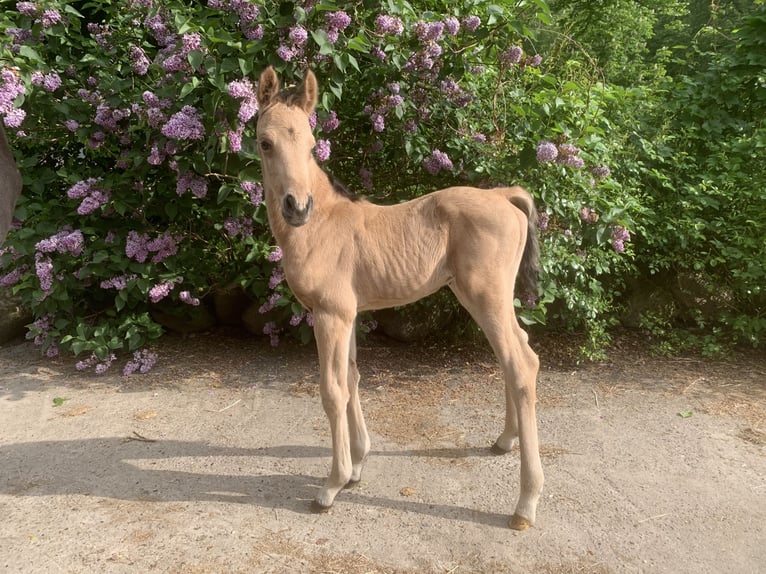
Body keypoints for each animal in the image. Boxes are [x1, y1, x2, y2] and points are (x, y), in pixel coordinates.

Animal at [255, 67, 544, 532]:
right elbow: (353, 378)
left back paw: (525, 503)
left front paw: (331, 486)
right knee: (516, 355)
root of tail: (502, 195)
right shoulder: (348, 314)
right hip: (486, 300)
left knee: (522, 363)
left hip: (486, 297)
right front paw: (357, 466)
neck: (321, 226)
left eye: (311, 144)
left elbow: (332, 390)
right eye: (266, 142)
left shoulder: (330, 315)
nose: (297, 206)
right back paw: (504, 440)